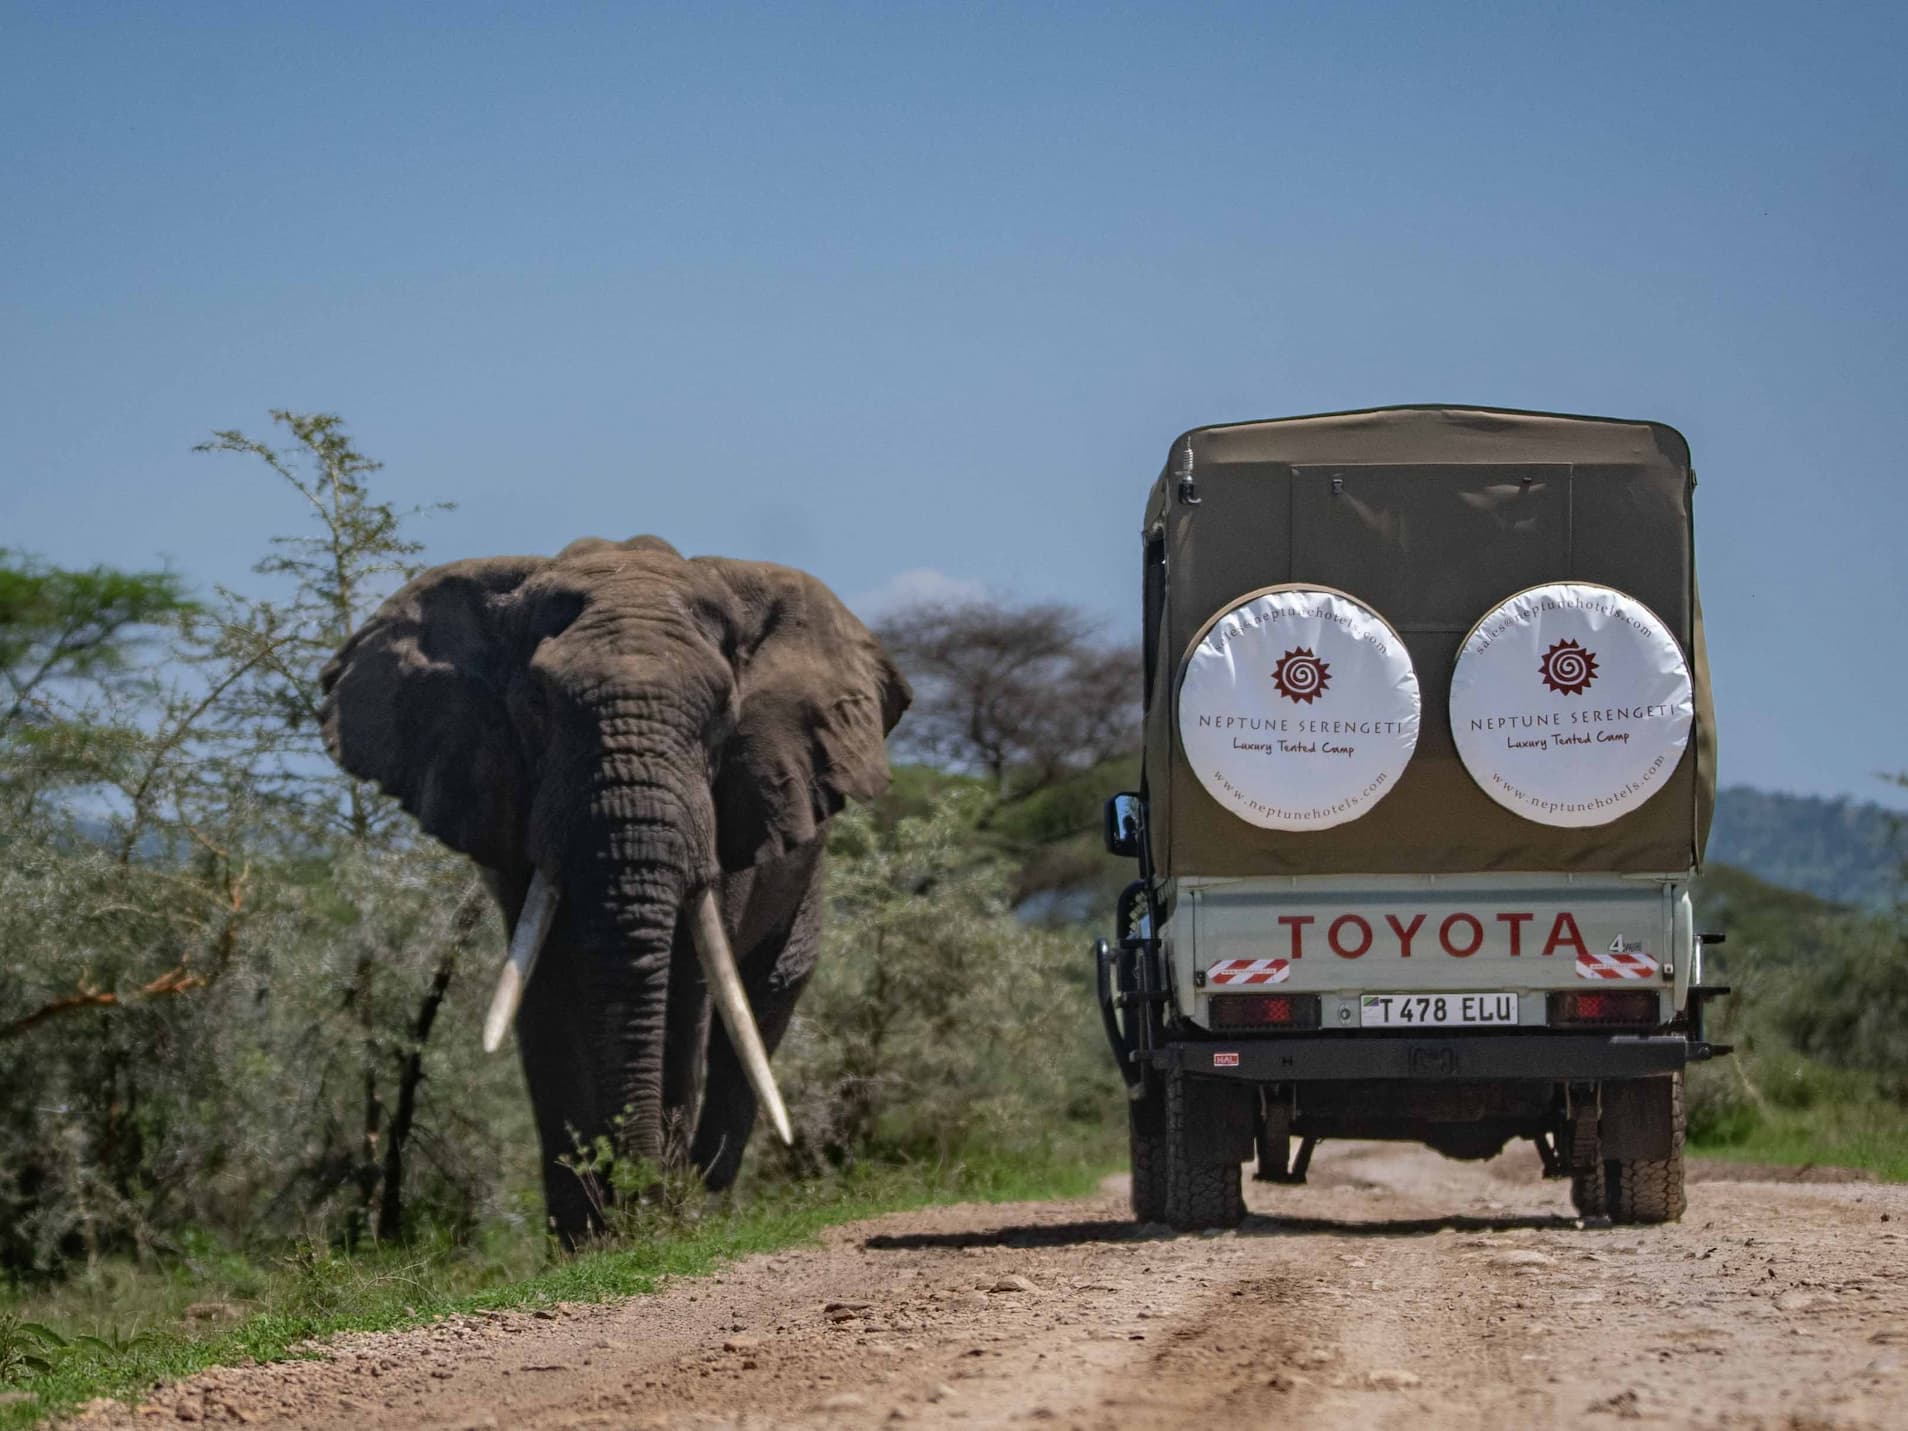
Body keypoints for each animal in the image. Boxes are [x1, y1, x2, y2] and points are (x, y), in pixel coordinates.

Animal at [318, 535, 910, 1242]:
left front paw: (660, 1226)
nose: (637, 1199)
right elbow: (543, 991)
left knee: (760, 1006)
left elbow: (685, 987)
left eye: (722, 717)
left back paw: (707, 1208)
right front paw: (585, 1244)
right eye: (537, 707)